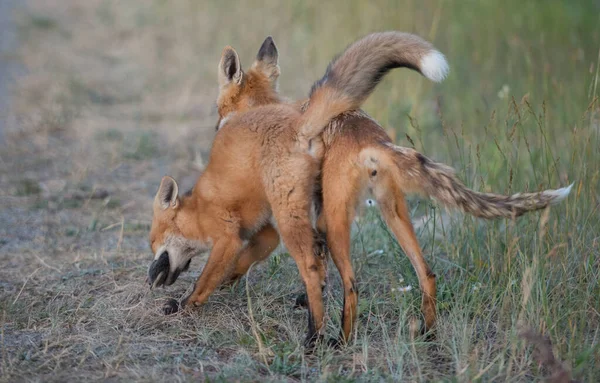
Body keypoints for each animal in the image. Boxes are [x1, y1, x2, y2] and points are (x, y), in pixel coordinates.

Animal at [146, 32, 572, 344]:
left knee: (350, 283)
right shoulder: (307, 214)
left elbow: (299, 267)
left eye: (217, 111)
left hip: (336, 221)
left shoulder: (294, 214)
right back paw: (427, 335)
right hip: (391, 214)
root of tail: (374, 140)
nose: (217, 130)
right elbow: (298, 267)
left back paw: (330, 340)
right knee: (426, 273)